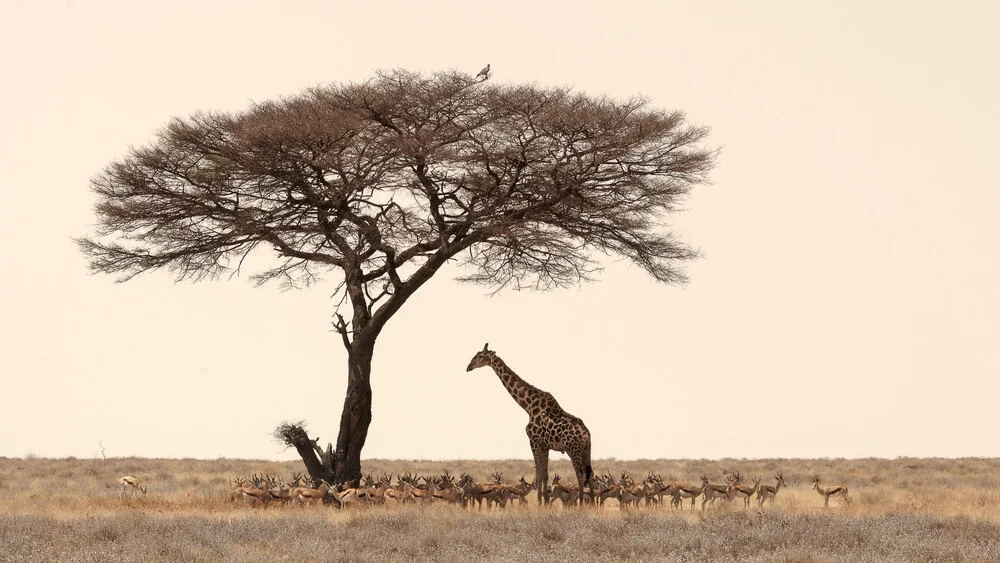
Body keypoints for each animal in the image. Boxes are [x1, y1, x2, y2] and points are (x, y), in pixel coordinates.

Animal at [468, 344, 592, 506]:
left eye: (481, 356)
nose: (468, 367)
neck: (528, 405)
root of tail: (586, 434)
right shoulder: (545, 445)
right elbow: (545, 474)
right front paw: (545, 502)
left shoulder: (533, 441)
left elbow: (538, 474)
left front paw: (539, 503)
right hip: (585, 450)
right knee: (590, 475)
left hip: (573, 449)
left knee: (580, 474)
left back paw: (581, 504)